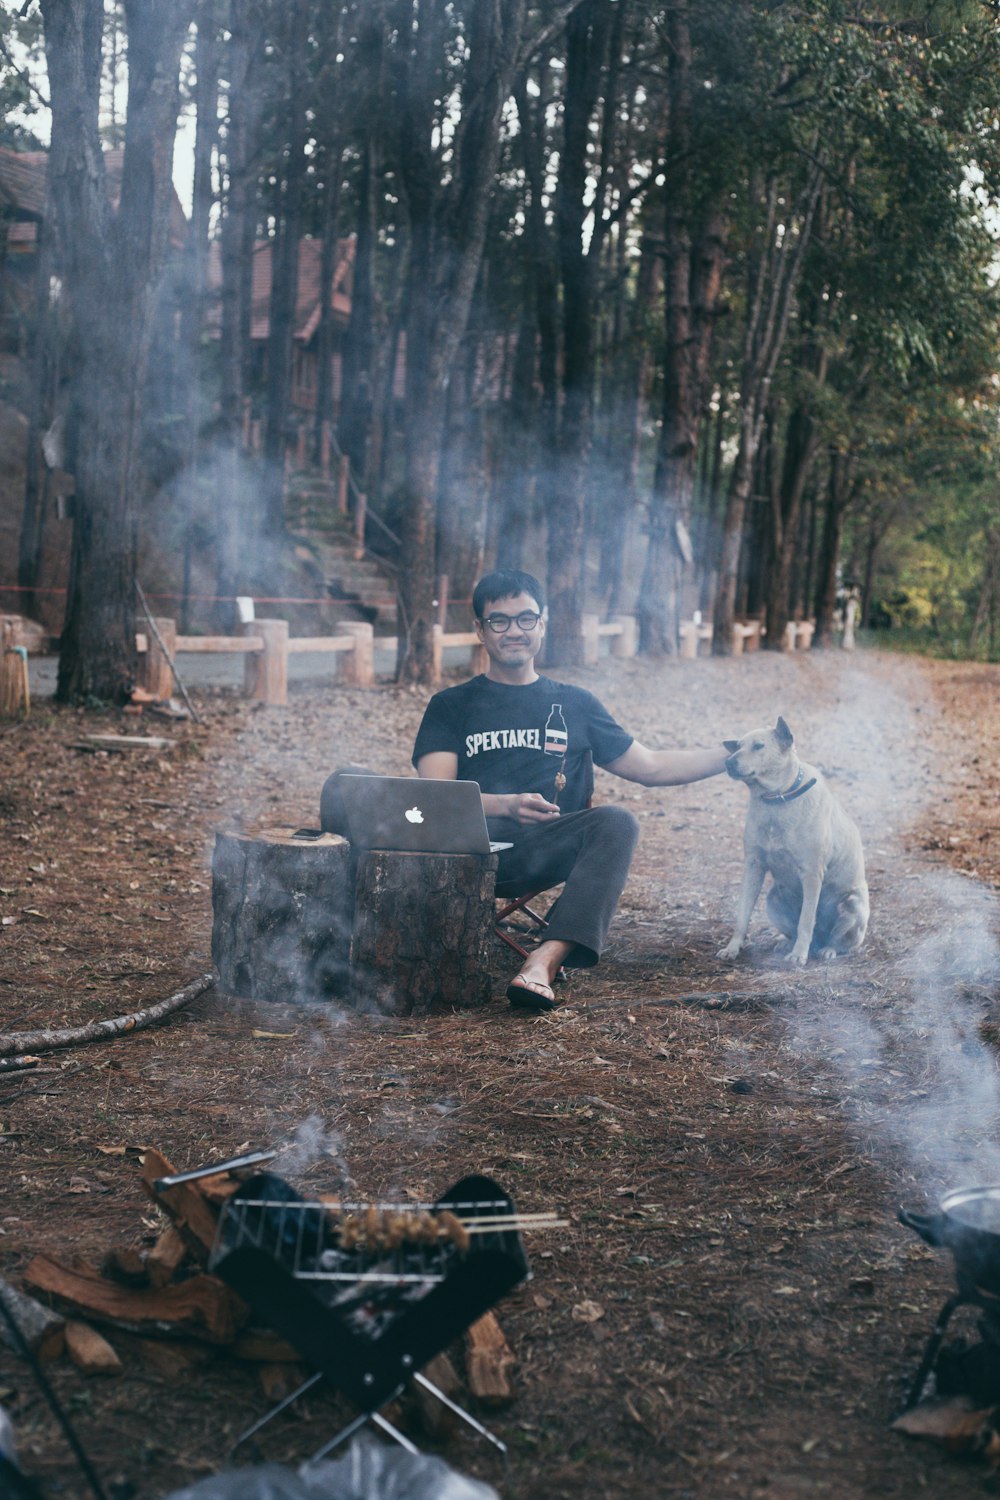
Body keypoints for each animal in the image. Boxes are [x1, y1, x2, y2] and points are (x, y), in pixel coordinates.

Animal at [719, 720, 869, 966]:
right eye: (739, 746)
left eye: (758, 746)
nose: (728, 762)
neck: (776, 799)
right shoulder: (753, 866)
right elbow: (742, 915)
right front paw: (732, 948)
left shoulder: (811, 874)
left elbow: (806, 920)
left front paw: (799, 955)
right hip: (772, 898)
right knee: (794, 931)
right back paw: (786, 943)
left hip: (852, 904)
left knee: (839, 942)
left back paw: (827, 950)